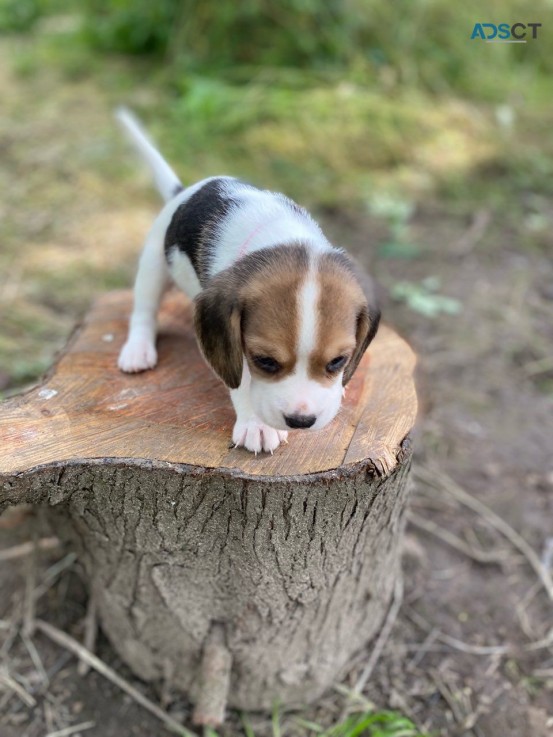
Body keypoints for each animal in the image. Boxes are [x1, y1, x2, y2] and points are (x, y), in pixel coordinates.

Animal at [114, 108, 378, 452]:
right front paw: (256, 424)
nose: (301, 421)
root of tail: (182, 191)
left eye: (337, 361)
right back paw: (138, 350)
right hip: (154, 264)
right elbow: (242, 381)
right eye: (264, 361)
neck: (281, 238)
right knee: (143, 311)